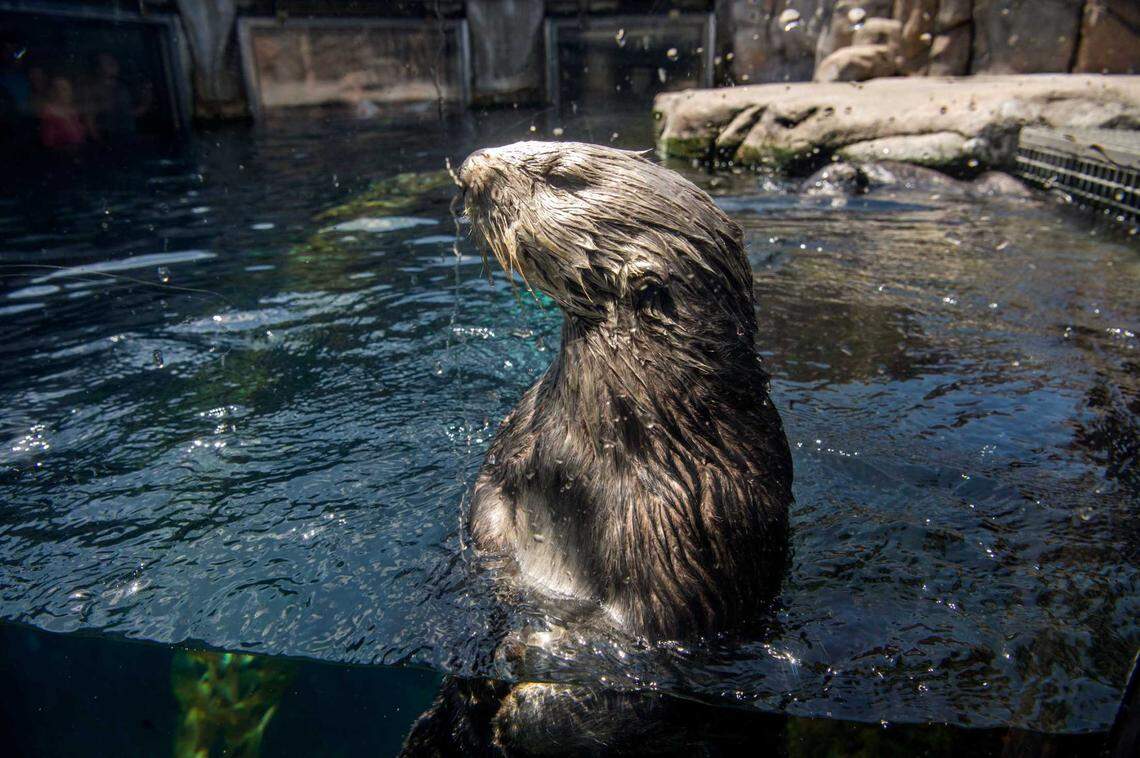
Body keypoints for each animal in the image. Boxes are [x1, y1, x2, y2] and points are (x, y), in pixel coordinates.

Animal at [403, 142, 793, 755]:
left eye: (561, 175)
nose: (471, 163)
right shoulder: (518, 438)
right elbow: (484, 507)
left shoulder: (685, 535)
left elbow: (638, 665)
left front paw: (525, 678)